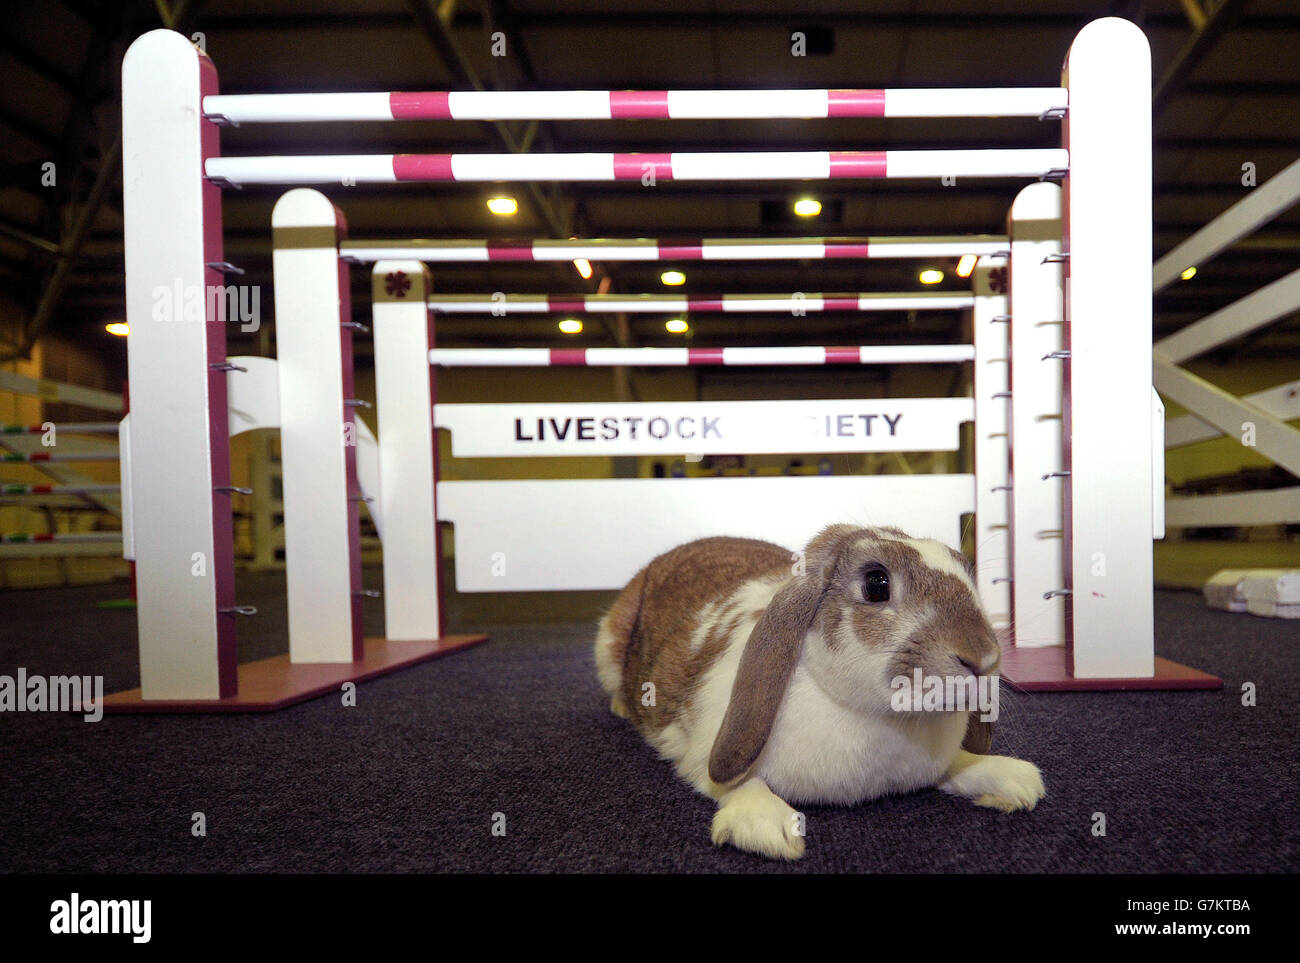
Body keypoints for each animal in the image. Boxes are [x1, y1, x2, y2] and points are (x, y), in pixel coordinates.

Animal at [594, 523, 1044, 860]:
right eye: (876, 583)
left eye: (968, 574)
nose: (984, 659)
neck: (886, 720)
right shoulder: (704, 751)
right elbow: (730, 782)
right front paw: (767, 825)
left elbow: (957, 766)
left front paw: (1013, 780)